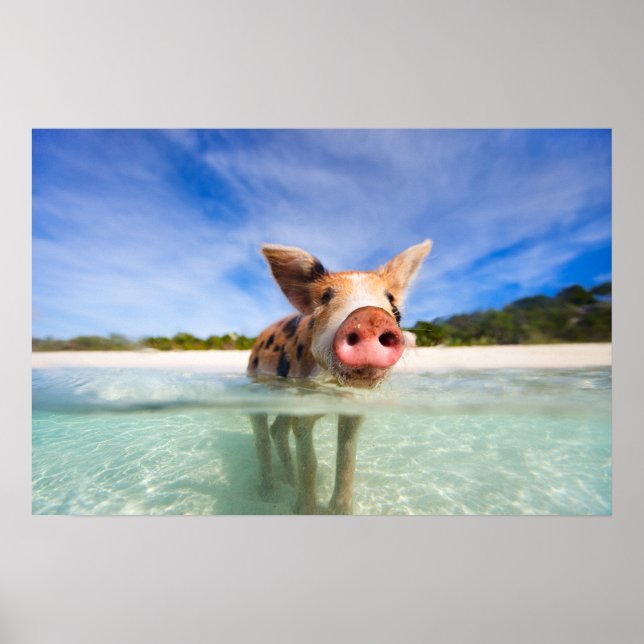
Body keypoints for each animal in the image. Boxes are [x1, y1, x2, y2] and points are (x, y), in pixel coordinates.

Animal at [247, 240, 432, 513]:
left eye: (393, 305)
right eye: (325, 297)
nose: (370, 316)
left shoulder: (353, 409)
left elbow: (346, 459)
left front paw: (340, 511)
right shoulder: (303, 405)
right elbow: (309, 463)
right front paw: (305, 511)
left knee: (277, 430)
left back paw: (288, 481)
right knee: (262, 435)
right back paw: (269, 494)